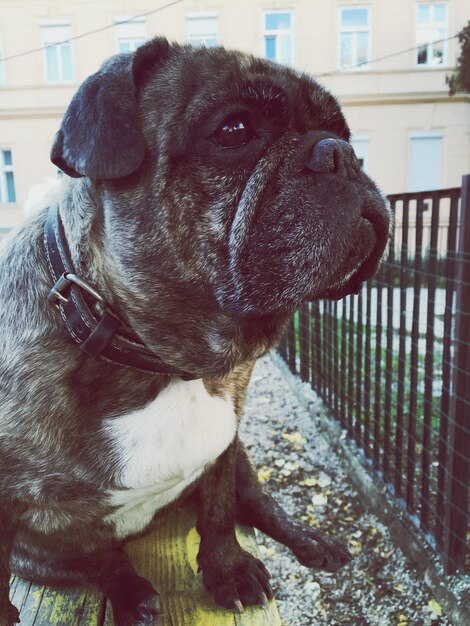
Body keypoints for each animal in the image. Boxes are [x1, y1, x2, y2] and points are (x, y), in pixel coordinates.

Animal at [0, 39, 390, 624]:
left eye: (343, 133)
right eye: (234, 130)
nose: (341, 154)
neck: (166, 362)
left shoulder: (226, 440)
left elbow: (220, 509)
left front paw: (228, 570)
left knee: (256, 499)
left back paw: (310, 541)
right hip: (39, 555)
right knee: (100, 561)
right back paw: (133, 595)